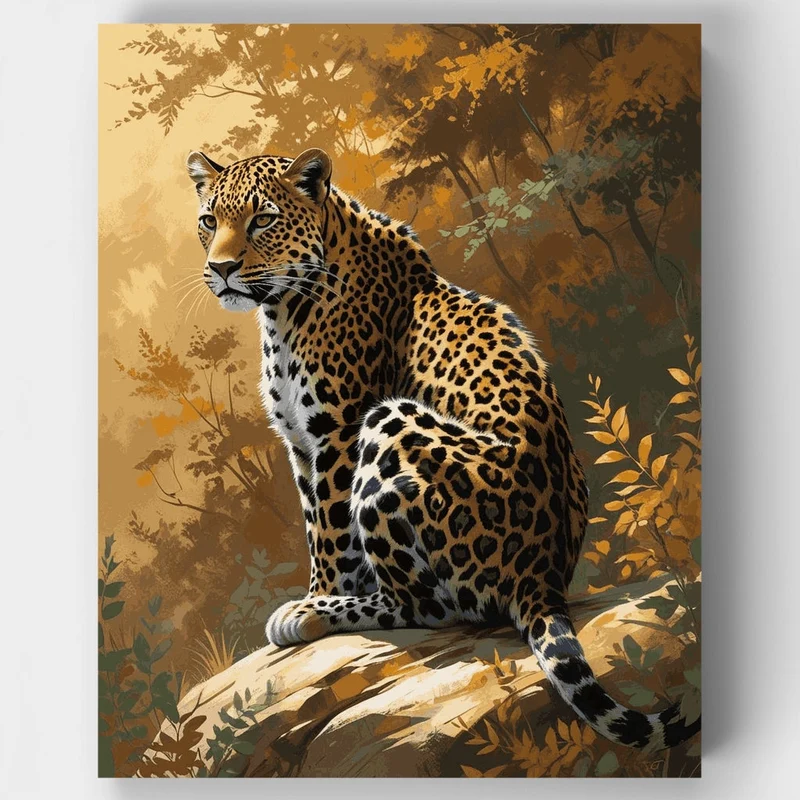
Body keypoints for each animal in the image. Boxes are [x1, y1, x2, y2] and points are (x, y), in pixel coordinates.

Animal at [185, 147, 700, 751]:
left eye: (262, 220)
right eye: (209, 221)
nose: (222, 268)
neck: (281, 310)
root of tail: (544, 576)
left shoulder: (336, 433)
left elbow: (332, 535)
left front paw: (317, 599)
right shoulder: (300, 445)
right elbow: (315, 528)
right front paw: (316, 590)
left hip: (389, 421)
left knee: (426, 607)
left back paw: (319, 616)